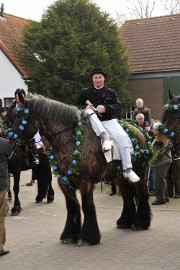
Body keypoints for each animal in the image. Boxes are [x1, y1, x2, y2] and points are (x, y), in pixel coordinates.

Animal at [9, 94, 151, 246]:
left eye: (21, 116)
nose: (10, 140)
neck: (70, 140)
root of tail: (138, 131)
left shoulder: (85, 182)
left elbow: (86, 206)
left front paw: (88, 237)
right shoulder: (64, 181)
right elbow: (72, 206)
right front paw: (69, 235)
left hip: (140, 171)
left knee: (141, 192)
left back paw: (141, 223)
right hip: (118, 176)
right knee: (127, 196)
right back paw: (124, 221)